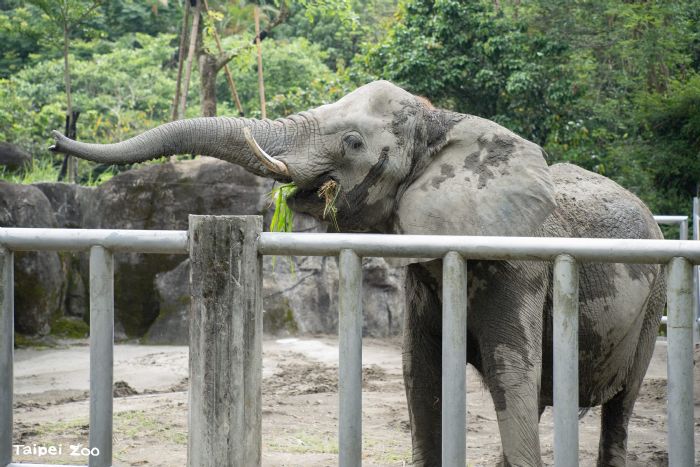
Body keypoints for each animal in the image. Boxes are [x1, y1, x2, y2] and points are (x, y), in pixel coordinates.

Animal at [50, 80, 665, 466]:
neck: (441, 121)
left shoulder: (520, 266)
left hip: (654, 294)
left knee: (618, 404)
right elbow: (421, 373)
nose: (57, 135)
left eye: (352, 142)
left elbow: (510, 371)